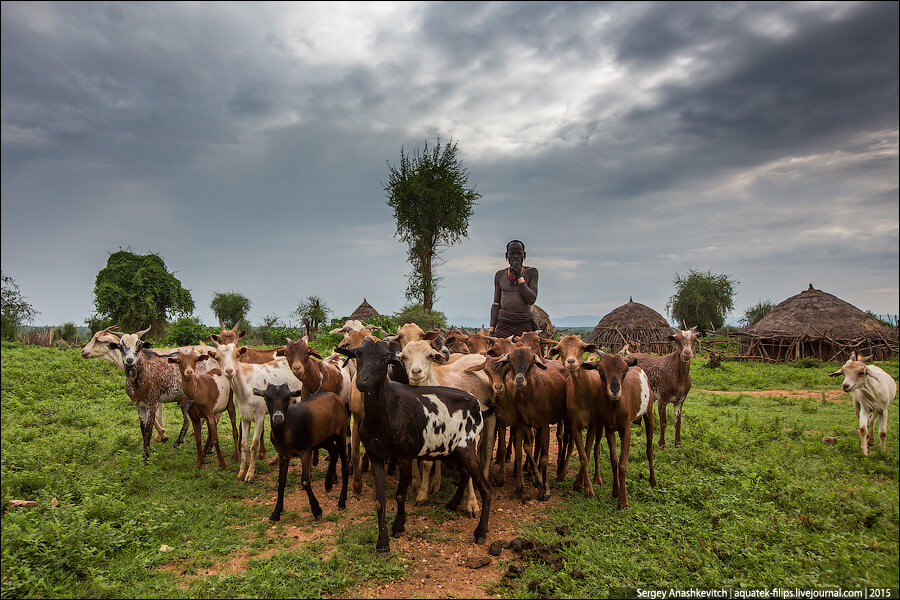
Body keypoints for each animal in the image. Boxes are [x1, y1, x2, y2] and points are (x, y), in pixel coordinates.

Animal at [255, 384, 354, 520]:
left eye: (287, 398)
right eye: (266, 398)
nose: (278, 417)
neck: (287, 431)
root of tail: (335, 396)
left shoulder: (305, 451)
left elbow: (306, 480)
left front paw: (317, 510)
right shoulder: (283, 455)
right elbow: (281, 482)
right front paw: (275, 513)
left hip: (340, 433)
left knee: (344, 466)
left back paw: (342, 501)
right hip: (323, 439)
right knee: (334, 451)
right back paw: (328, 483)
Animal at [334, 338, 492, 552]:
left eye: (385, 359)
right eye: (357, 355)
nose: (362, 381)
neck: (386, 411)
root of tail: (476, 403)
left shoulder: (404, 457)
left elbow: (400, 495)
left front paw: (398, 526)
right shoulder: (376, 457)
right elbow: (380, 500)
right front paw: (382, 543)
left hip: (469, 448)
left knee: (486, 489)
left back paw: (480, 532)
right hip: (453, 451)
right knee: (465, 474)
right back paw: (452, 504)